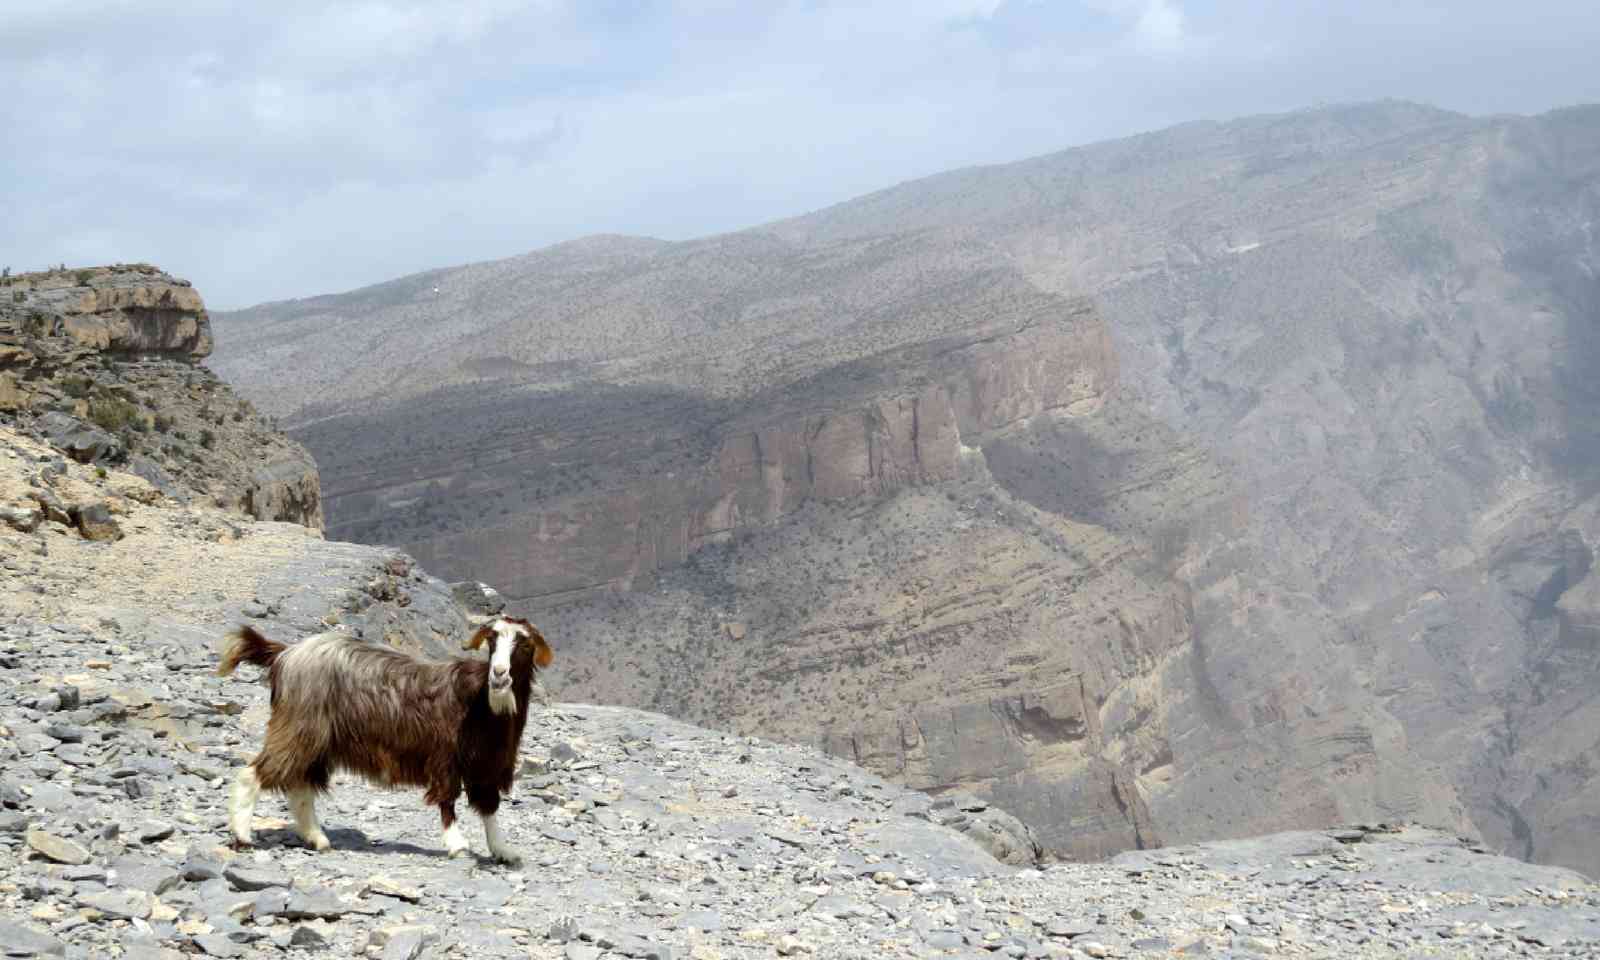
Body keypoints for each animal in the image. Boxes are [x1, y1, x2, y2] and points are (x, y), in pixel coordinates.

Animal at [212, 617, 553, 864]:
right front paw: (457, 844)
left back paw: (318, 839)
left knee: (300, 787)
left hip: (316, 740)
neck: (482, 703)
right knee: (254, 774)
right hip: (298, 728)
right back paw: (243, 834)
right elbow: (447, 798)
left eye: (524, 643)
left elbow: (490, 807)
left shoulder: (488, 765)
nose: (499, 674)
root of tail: (284, 654)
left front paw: (503, 851)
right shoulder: (445, 756)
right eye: (492, 641)